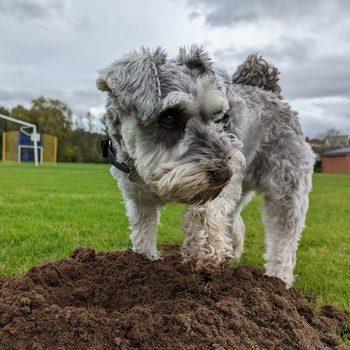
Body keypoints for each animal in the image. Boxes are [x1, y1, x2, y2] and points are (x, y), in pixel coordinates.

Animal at [97, 45, 316, 288]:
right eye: (168, 117)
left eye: (219, 117)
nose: (223, 174)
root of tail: (270, 92)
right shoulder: (139, 200)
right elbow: (143, 233)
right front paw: (144, 262)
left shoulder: (225, 185)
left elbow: (204, 212)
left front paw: (203, 252)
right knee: (235, 223)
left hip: (286, 189)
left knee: (284, 239)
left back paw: (279, 280)